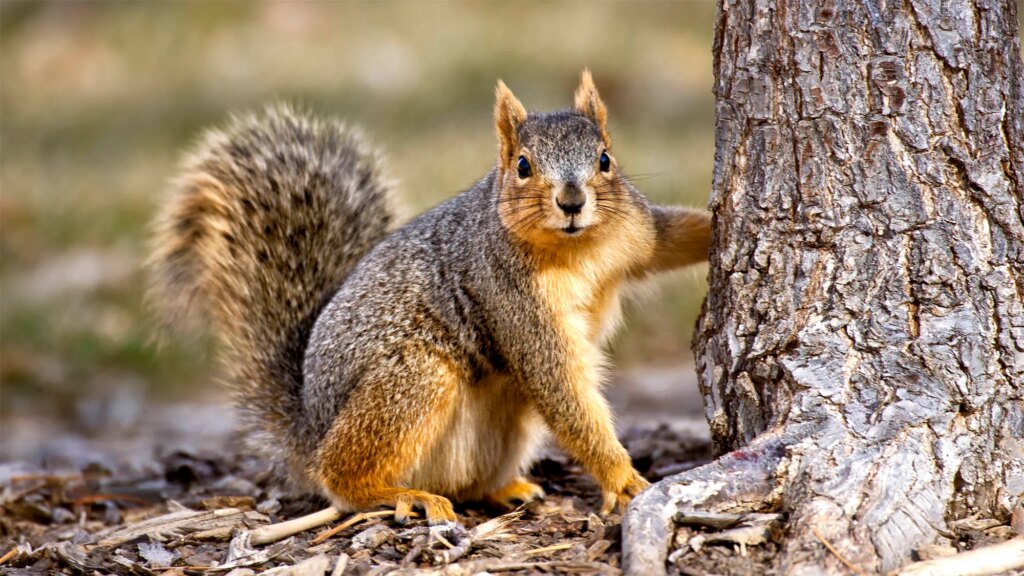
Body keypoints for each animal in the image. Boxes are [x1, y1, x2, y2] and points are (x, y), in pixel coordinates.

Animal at [148, 71, 712, 524]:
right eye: (523, 166)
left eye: (605, 159)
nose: (572, 201)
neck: (578, 249)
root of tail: (310, 425)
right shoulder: (512, 297)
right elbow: (560, 388)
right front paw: (622, 479)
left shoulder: (635, 230)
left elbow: (670, 237)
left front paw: (717, 226)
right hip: (414, 379)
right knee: (340, 478)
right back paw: (400, 495)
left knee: (468, 483)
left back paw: (506, 488)